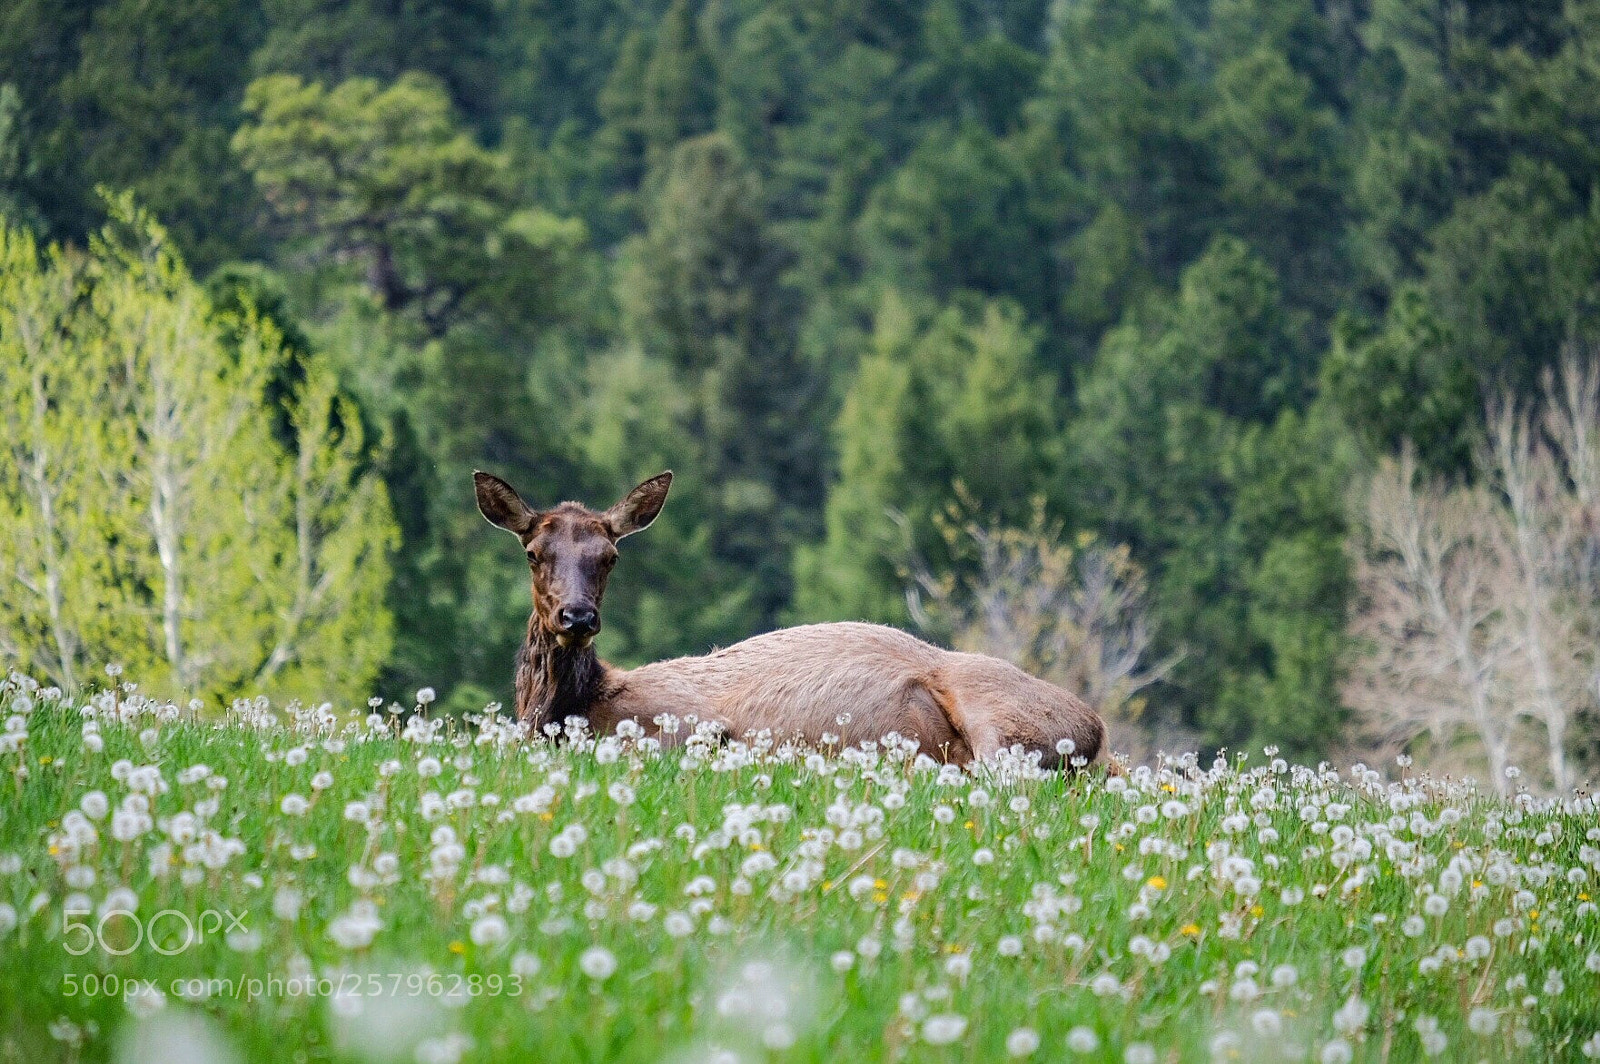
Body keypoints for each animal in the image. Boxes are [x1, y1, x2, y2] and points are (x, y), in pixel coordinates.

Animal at [475, 469, 1111, 770]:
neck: (580, 704)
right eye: (534, 552)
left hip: (1004, 723)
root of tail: (1098, 728)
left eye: (610, 556)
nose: (577, 616)